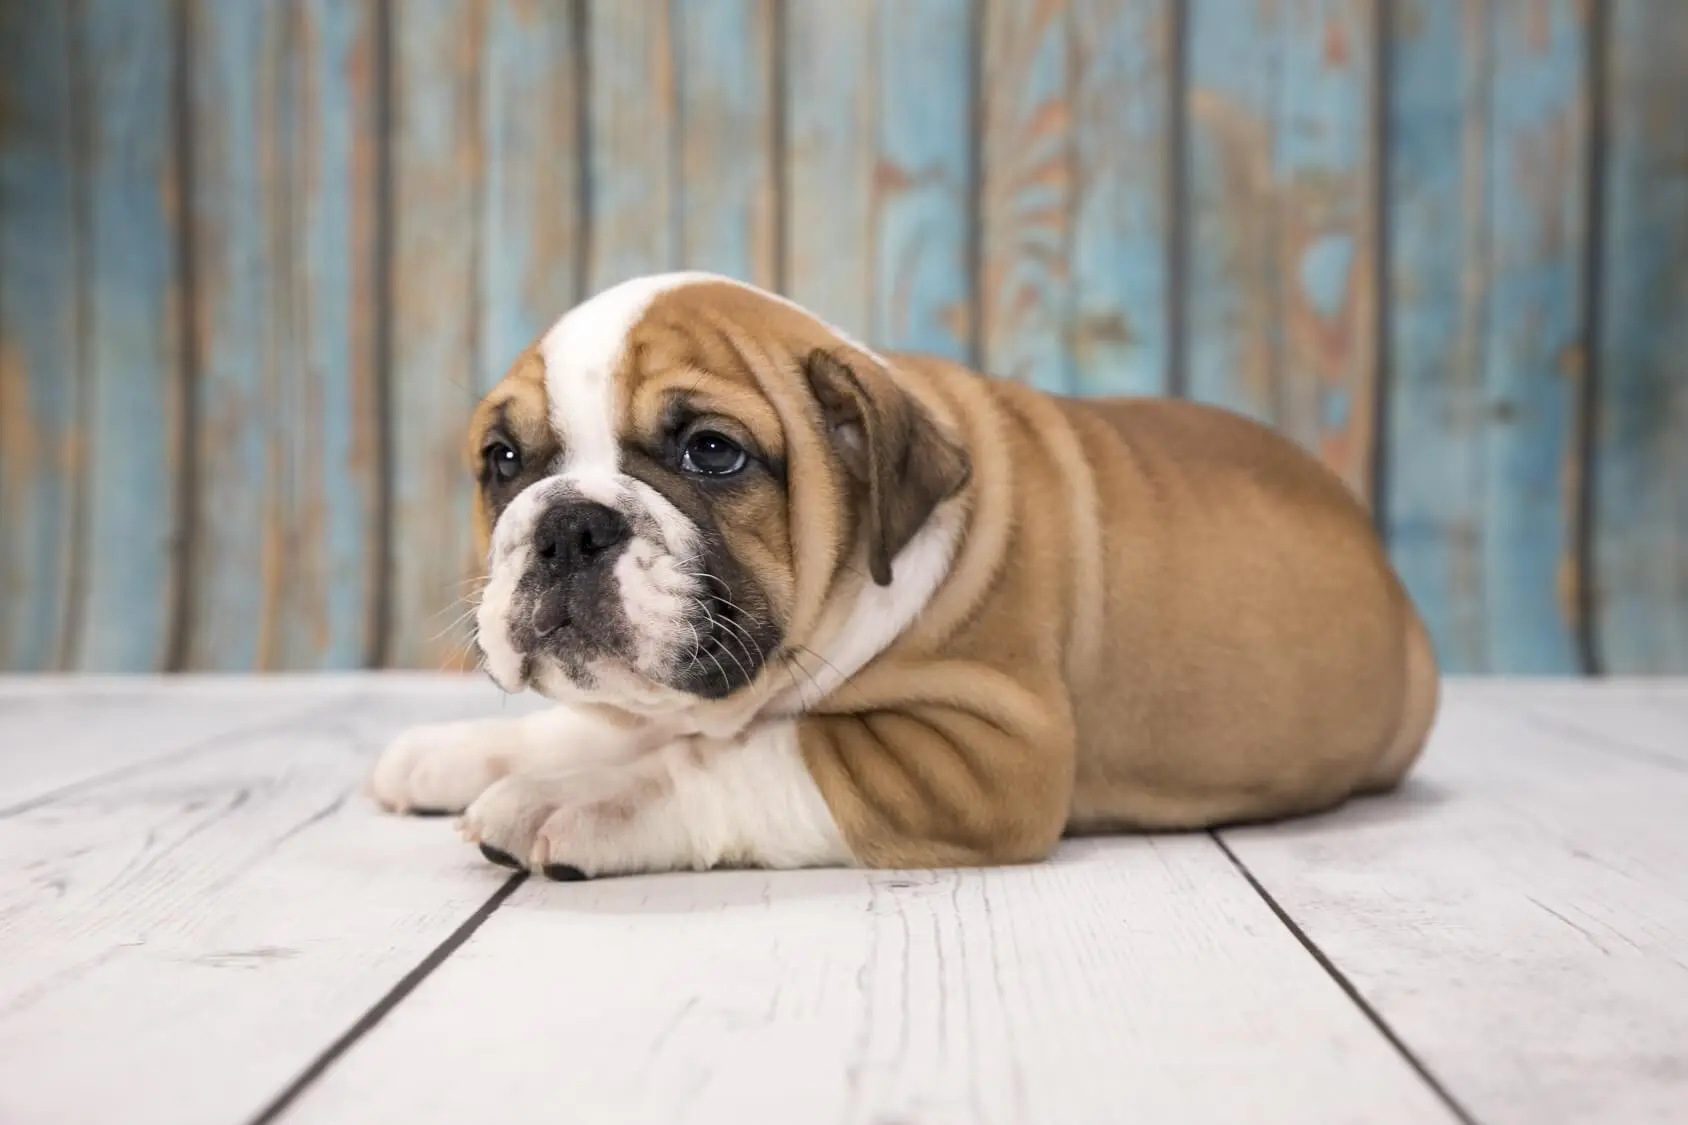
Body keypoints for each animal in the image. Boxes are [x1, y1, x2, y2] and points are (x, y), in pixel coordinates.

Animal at [369, 270, 1438, 878]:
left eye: (712, 451)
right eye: (504, 460)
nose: (567, 527)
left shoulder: (981, 751)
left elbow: (727, 761)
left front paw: (576, 799)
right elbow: (595, 725)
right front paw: (457, 753)